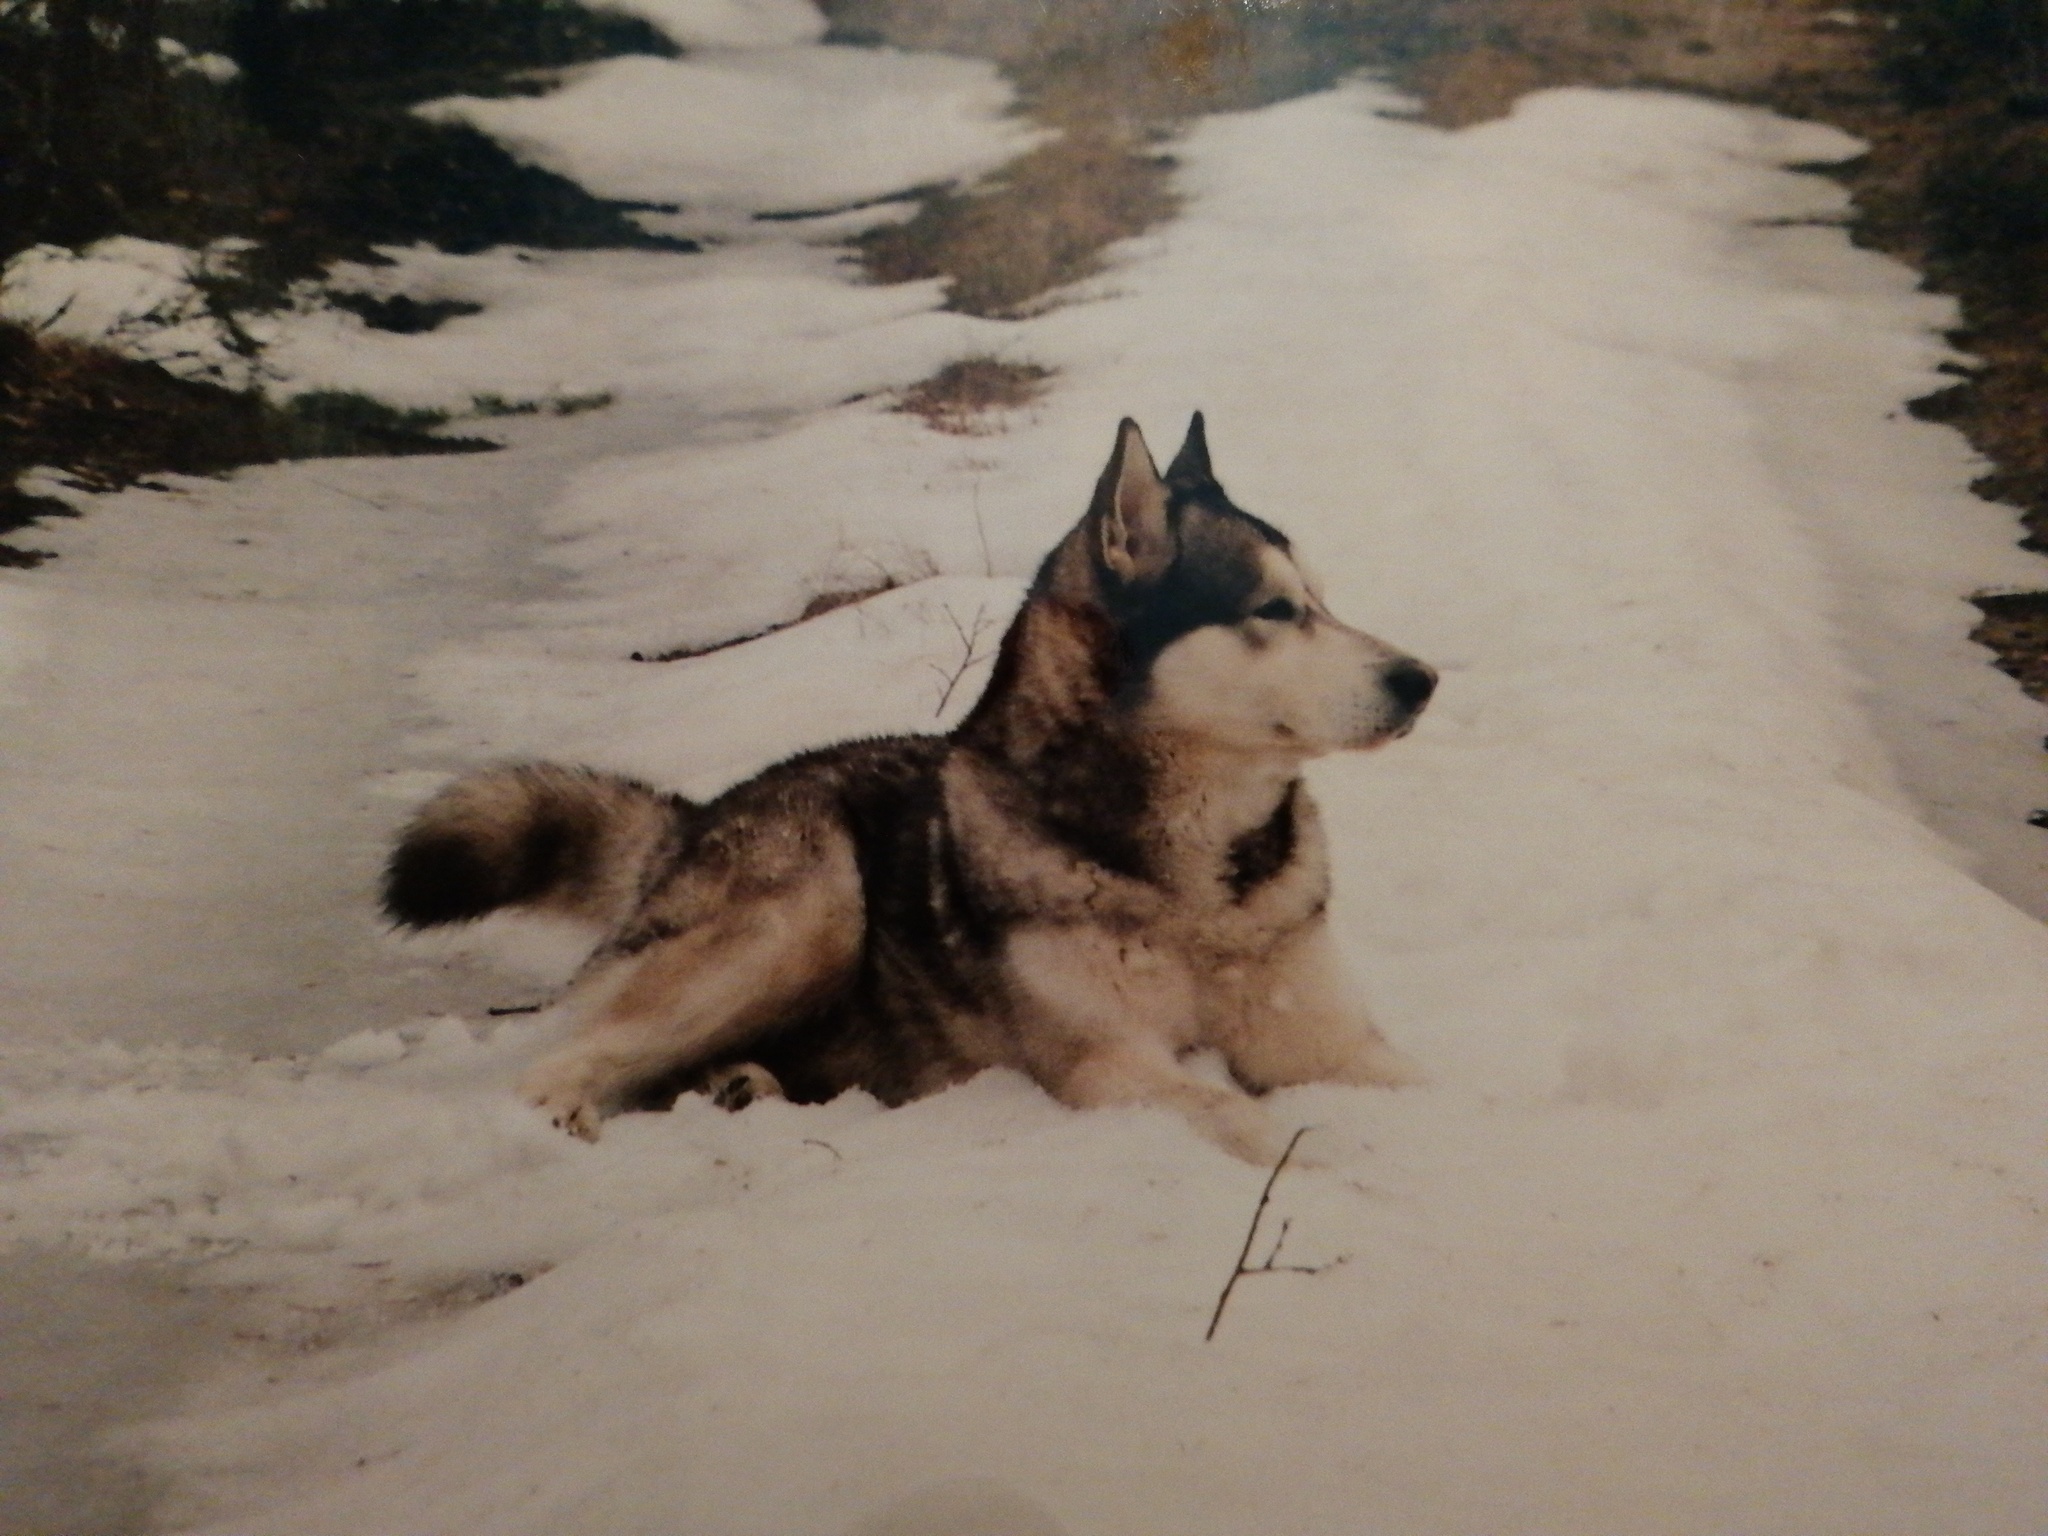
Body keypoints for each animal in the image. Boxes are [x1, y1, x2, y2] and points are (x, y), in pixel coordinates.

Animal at [387, 415, 1441, 1163]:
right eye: (1276, 609)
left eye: (1323, 600)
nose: (1422, 678)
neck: (1201, 885)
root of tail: (692, 818)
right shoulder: (1110, 1064)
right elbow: (1262, 1131)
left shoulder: (1328, 1044)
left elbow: (1431, 1087)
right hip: (808, 911)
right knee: (567, 1057)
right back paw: (567, 1116)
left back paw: (742, 1085)